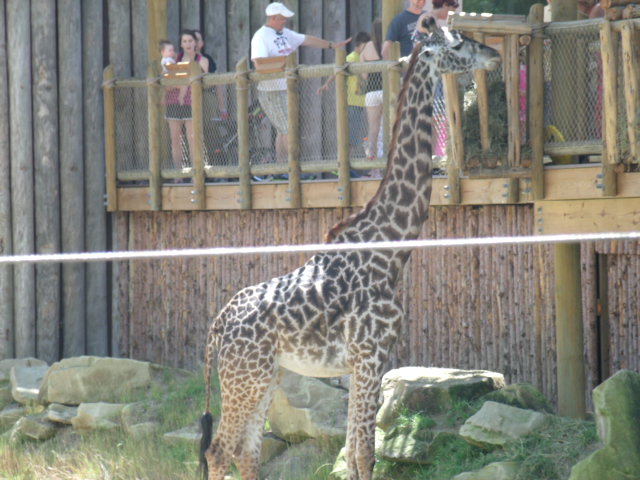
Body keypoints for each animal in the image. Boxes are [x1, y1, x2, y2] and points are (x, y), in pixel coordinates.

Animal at [199, 17, 500, 480]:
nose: (494, 54)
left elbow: (356, 453)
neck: (391, 247)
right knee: (219, 451)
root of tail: (217, 326)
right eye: (458, 44)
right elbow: (363, 455)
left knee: (246, 453)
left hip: (265, 375)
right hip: (244, 376)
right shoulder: (369, 355)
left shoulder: (366, 361)